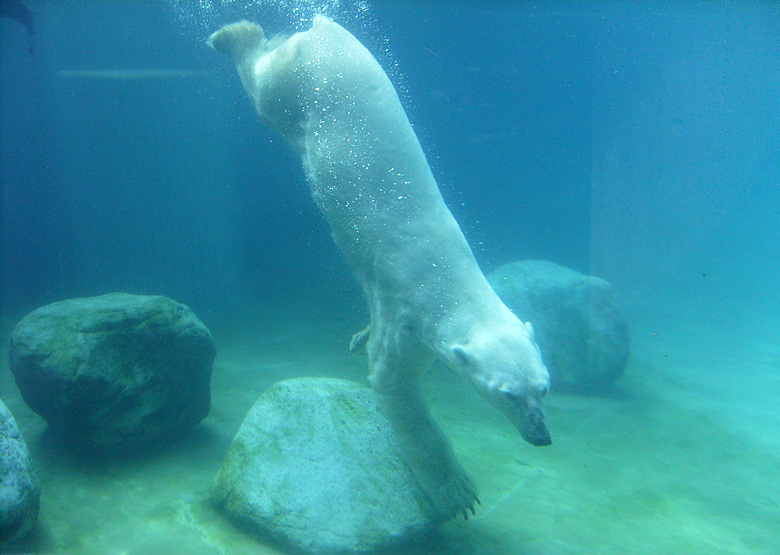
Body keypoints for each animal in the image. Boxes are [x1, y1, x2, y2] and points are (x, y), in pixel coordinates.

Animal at [207, 15, 548, 524]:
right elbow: (394, 385)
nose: (541, 436)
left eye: (543, 388)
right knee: (264, 87)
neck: (449, 275)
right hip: (302, 85)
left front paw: (357, 334)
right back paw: (233, 34)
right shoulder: (408, 311)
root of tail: (324, 28)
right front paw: (456, 489)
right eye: (506, 393)